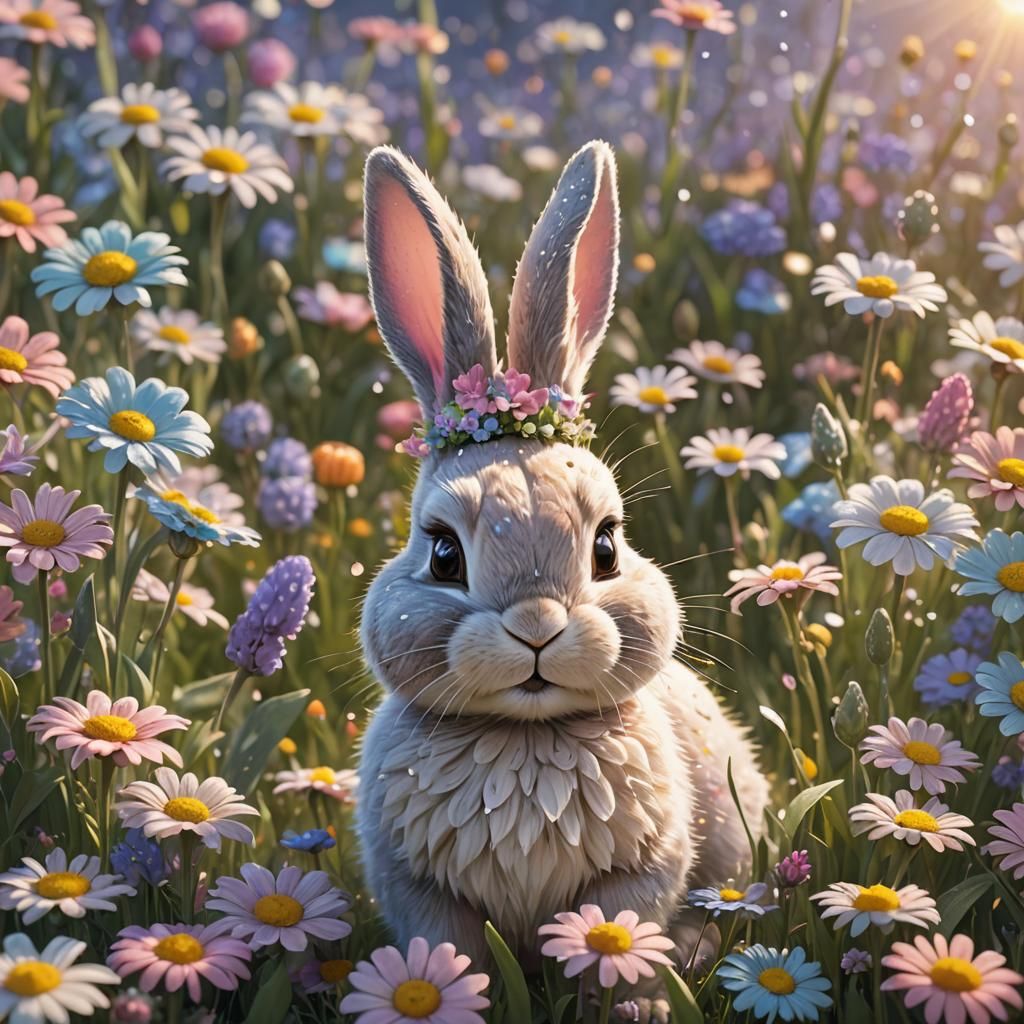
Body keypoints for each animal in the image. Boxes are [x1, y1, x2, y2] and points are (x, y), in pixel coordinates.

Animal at [355, 139, 770, 967]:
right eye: (444, 556)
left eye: (606, 546)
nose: (538, 627)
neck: (526, 736)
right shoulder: (423, 894)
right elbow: (452, 954)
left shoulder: (638, 875)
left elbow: (613, 937)